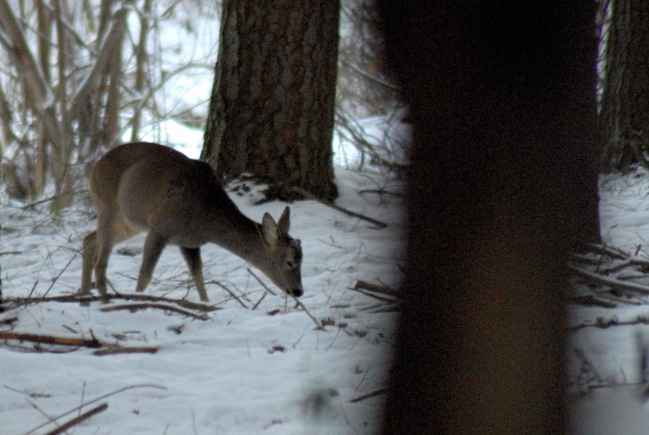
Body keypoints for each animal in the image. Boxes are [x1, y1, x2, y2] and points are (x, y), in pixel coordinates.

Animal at [81, 143, 304, 304]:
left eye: (302, 260)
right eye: (290, 262)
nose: (298, 291)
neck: (207, 221)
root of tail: (94, 168)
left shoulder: (189, 242)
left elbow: (198, 276)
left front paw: (206, 306)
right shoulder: (160, 229)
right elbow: (145, 275)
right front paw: (138, 302)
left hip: (130, 224)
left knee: (89, 239)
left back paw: (83, 296)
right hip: (109, 205)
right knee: (101, 262)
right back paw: (104, 301)